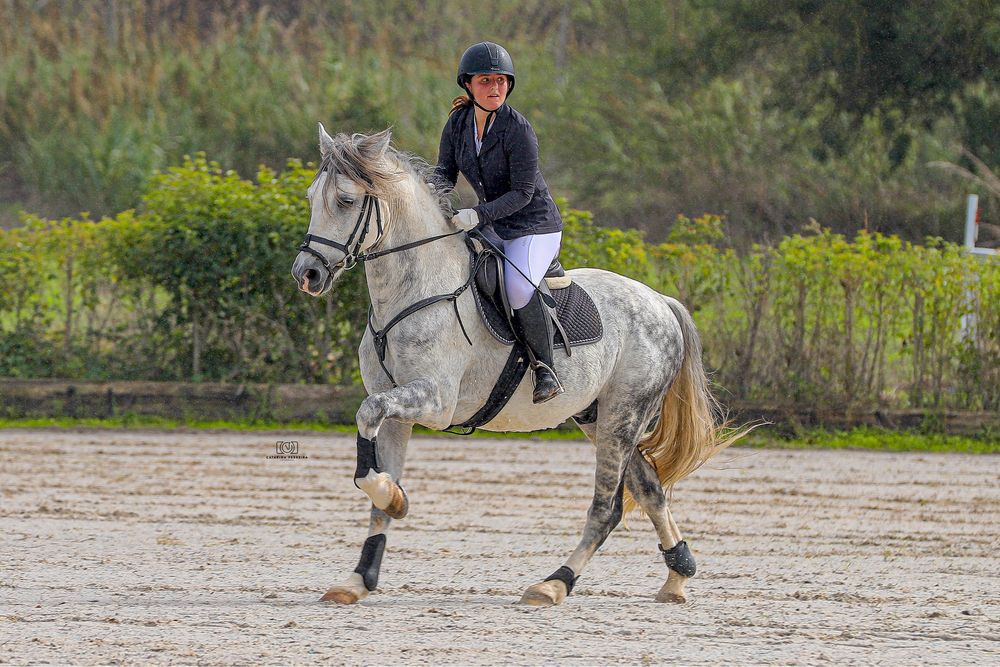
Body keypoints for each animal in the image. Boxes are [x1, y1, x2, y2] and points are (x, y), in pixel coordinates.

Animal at [290, 124, 742, 607]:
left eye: (345, 200)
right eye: (312, 196)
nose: (307, 274)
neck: (413, 292)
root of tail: (661, 301)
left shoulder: (435, 401)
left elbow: (367, 418)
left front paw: (394, 500)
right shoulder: (398, 411)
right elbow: (376, 479)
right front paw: (361, 573)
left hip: (623, 416)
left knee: (607, 508)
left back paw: (554, 583)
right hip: (598, 416)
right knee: (650, 489)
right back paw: (677, 576)